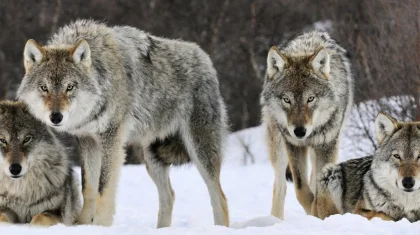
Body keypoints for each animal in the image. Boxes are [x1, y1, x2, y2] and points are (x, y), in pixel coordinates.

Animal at [17, 19, 230, 228]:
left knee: (220, 197)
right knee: (169, 196)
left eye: (70, 87)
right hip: (152, 159)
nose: (56, 117)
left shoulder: (111, 140)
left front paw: (100, 226)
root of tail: (205, 58)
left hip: (200, 151)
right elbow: (88, 187)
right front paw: (83, 224)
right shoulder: (87, 141)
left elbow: (103, 188)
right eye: (44, 87)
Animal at [260, 31, 352, 218]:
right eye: (287, 100)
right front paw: (313, 211)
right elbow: (301, 189)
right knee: (280, 186)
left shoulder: (327, 145)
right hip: (279, 148)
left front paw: (322, 213)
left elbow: (321, 192)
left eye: (310, 98)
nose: (300, 131)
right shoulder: (294, 145)